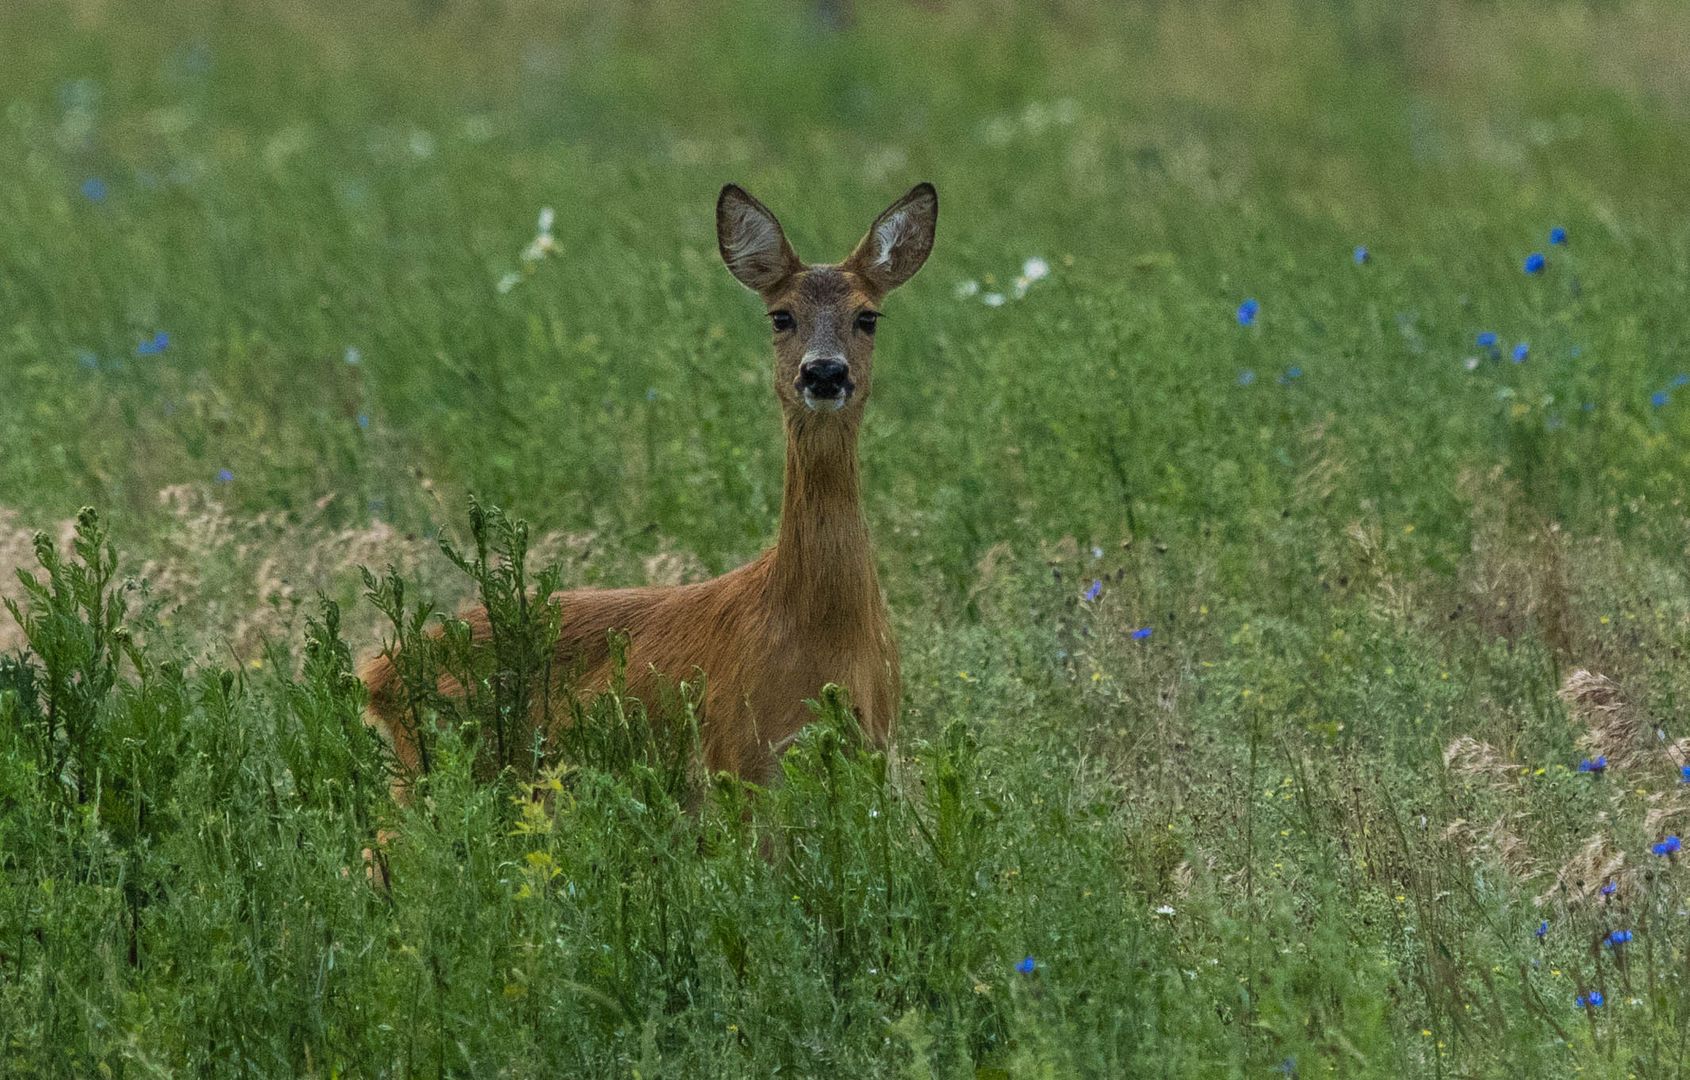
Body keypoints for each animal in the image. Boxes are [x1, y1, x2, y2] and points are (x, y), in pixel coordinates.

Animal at [359, 181, 939, 790]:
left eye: (868, 316)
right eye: (781, 316)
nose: (824, 373)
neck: (818, 631)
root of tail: (377, 672)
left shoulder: (872, 750)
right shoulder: (737, 754)